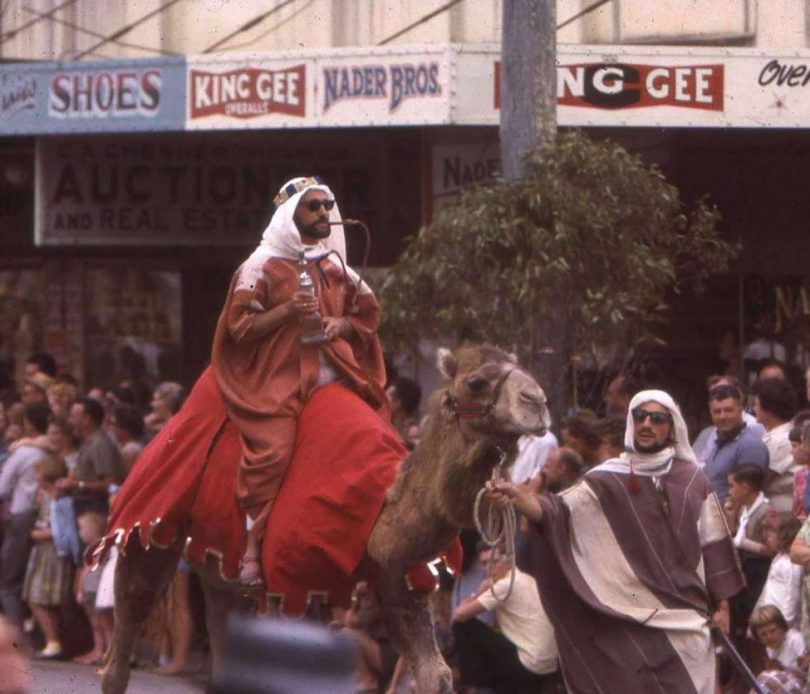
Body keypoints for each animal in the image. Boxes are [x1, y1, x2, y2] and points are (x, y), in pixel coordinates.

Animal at [99, 346, 544, 692]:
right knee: (128, 622)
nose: (538, 401)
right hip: (150, 519)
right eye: (476, 381)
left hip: (219, 566)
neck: (378, 508)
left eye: (520, 365)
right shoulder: (286, 583)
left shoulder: (397, 577)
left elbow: (436, 675)